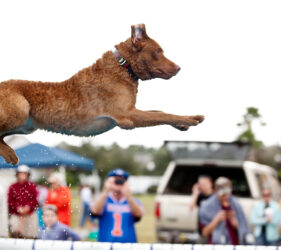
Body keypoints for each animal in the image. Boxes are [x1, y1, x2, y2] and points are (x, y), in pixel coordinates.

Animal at [0, 23, 203, 164]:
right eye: (159, 51)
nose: (178, 67)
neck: (124, 67)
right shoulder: (127, 116)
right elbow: (164, 114)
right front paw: (192, 119)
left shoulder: (131, 110)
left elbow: (159, 112)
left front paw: (183, 125)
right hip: (20, 111)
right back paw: (10, 154)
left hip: (26, 125)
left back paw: (10, 155)